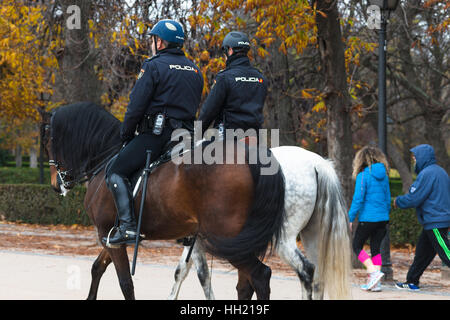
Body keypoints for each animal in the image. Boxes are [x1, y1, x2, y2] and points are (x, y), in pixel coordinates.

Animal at [41, 103, 284, 300]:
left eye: (48, 142)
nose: (56, 184)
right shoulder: (111, 236)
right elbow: (97, 267)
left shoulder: (107, 233)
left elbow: (125, 283)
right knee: (248, 282)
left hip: (228, 240)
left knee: (260, 275)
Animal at [168, 146, 352, 300]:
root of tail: (316, 163)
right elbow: (182, 271)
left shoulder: (196, 239)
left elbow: (200, 275)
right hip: (313, 236)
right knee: (319, 277)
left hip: (284, 240)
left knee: (306, 270)